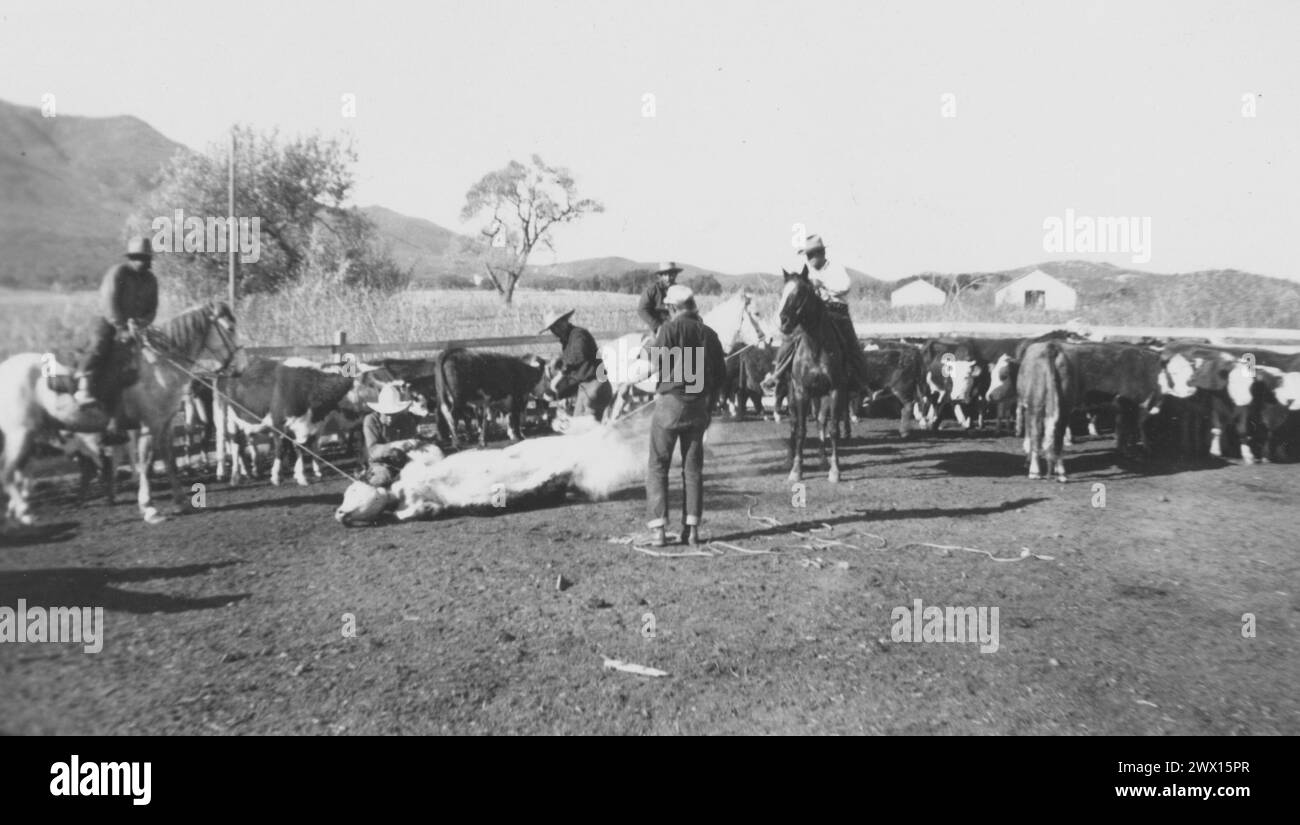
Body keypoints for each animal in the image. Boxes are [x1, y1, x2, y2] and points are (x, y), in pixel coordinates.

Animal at [774, 265, 847, 483]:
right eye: (783, 292)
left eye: (799, 293)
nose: (783, 322)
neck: (816, 347)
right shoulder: (801, 391)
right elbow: (800, 431)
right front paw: (796, 470)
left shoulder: (834, 390)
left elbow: (832, 429)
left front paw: (835, 470)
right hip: (792, 394)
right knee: (793, 424)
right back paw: (789, 460)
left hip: (820, 396)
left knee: (821, 422)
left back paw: (823, 459)